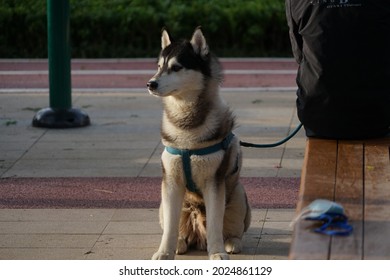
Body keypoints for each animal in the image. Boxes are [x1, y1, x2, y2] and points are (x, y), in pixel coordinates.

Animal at [148, 27, 251, 260]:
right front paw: (164, 252)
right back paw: (180, 242)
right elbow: (169, 226)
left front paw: (217, 252)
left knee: (232, 228)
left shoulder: (214, 181)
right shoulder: (171, 181)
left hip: (238, 195)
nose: (150, 83)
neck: (187, 130)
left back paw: (231, 242)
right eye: (159, 67)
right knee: (176, 226)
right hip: (165, 205)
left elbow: (215, 223)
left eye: (176, 67)